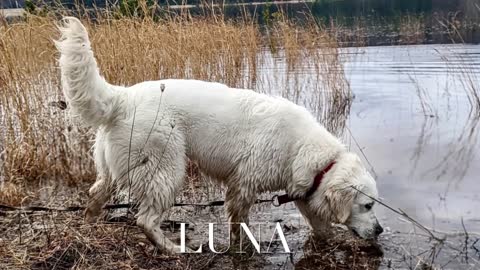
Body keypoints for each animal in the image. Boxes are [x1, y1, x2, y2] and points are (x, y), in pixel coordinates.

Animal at [55, 16, 382, 253]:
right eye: (367, 205)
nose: (379, 230)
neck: (303, 148)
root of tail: (123, 96)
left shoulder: (301, 191)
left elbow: (319, 223)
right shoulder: (244, 186)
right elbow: (240, 225)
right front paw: (244, 247)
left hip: (113, 168)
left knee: (94, 196)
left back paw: (88, 229)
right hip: (166, 169)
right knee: (145, 220)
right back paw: (173, 249)